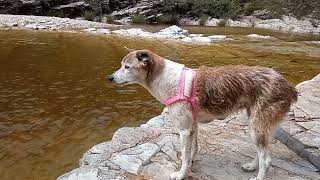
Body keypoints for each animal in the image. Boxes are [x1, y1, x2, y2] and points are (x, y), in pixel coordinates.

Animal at [107, 49, 298, 180]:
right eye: (122, 66)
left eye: (127, 67)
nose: (110, 78)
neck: (166, 78)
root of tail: (287, 86)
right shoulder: (192, 126)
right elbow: (193, 149)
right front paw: (190, 164)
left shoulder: (183, 129)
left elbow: (185, 154)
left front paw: (181, 174)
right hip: (259, 125)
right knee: (262, 151)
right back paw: (251, 166)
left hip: (256, 125)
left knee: (267, 159)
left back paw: (258, 176)